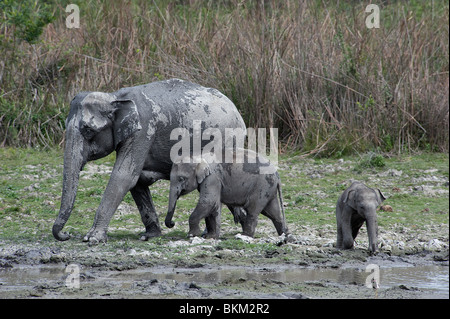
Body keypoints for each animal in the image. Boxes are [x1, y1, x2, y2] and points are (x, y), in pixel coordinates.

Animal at [51, 79, 246, 245]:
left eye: (88, 130)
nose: (66, 234)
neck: (115, 97)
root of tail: (237, 111)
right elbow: (137, 181)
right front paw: (150, 235)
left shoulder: (143, 130)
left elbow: (124, 176)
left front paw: (92, 238)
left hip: (227, 139)